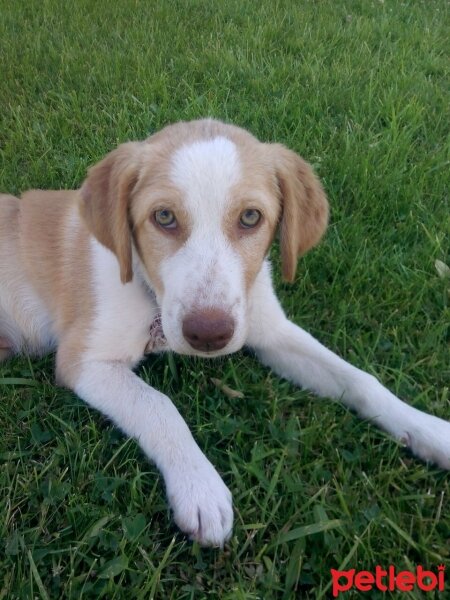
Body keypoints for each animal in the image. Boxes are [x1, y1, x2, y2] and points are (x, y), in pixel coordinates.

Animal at [0, 119, 450, 548]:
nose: (208, 334)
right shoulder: (84, 360)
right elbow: (159, 405)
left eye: (250, 217)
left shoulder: (269, 328)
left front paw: (428, 429)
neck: (150, 293)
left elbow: (361, 380)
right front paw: (200, 488)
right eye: (164, 217)